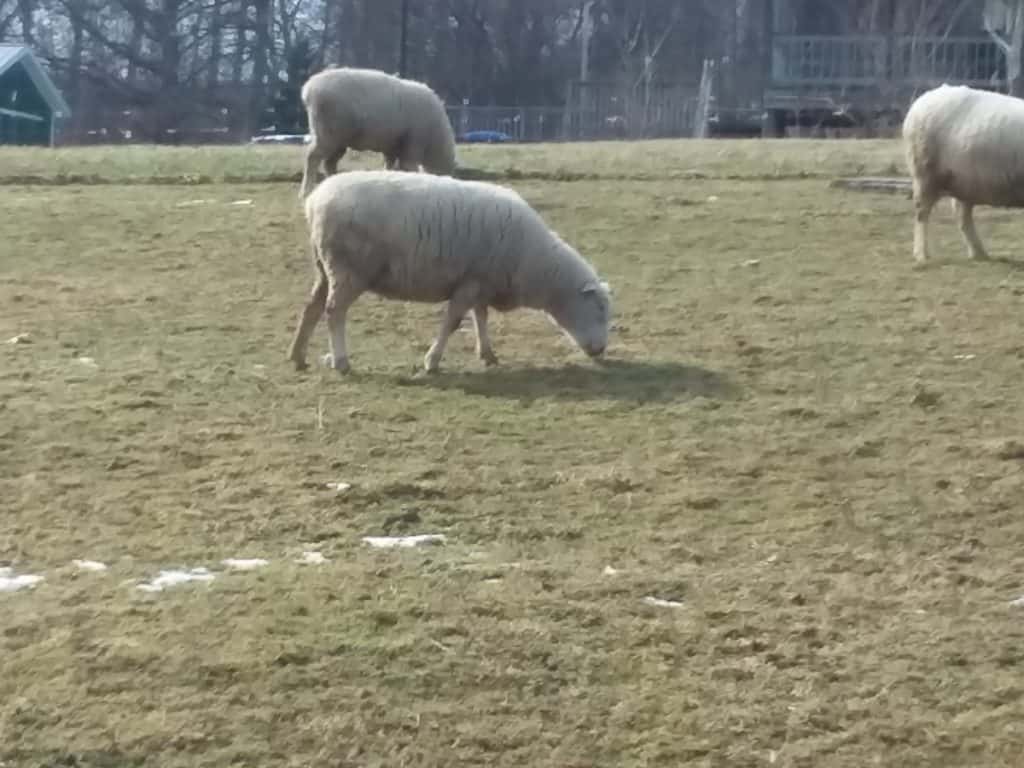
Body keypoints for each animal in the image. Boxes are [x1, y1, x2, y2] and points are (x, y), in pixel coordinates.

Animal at [284, 169, 610, 374]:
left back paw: (297, 357)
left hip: (324, 267)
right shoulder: (470, 284)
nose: (601, 351)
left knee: (311, 306)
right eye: (599, 311)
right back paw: (340, 361)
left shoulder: (481, 282)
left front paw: (487, 354)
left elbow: (481, 317)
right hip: (348, 270)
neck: (535, 262)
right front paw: (432, 361)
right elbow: (452, 323)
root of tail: (314, 201)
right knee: (333, 311)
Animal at [296, 66, 456, 199]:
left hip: (338, 140)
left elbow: (390, 165)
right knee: (313, 158)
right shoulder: (414, 143)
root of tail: (309, 88)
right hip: (328, 133)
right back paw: (306, 192)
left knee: (329, 163)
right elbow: (408, 166)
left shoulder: (393, 146)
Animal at [901, 83, 1024, 264]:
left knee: (962, 216)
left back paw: (978, 253)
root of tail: (924, 98)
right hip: (925, 173)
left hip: (964, 181)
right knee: (922, 213)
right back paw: (922, 254)